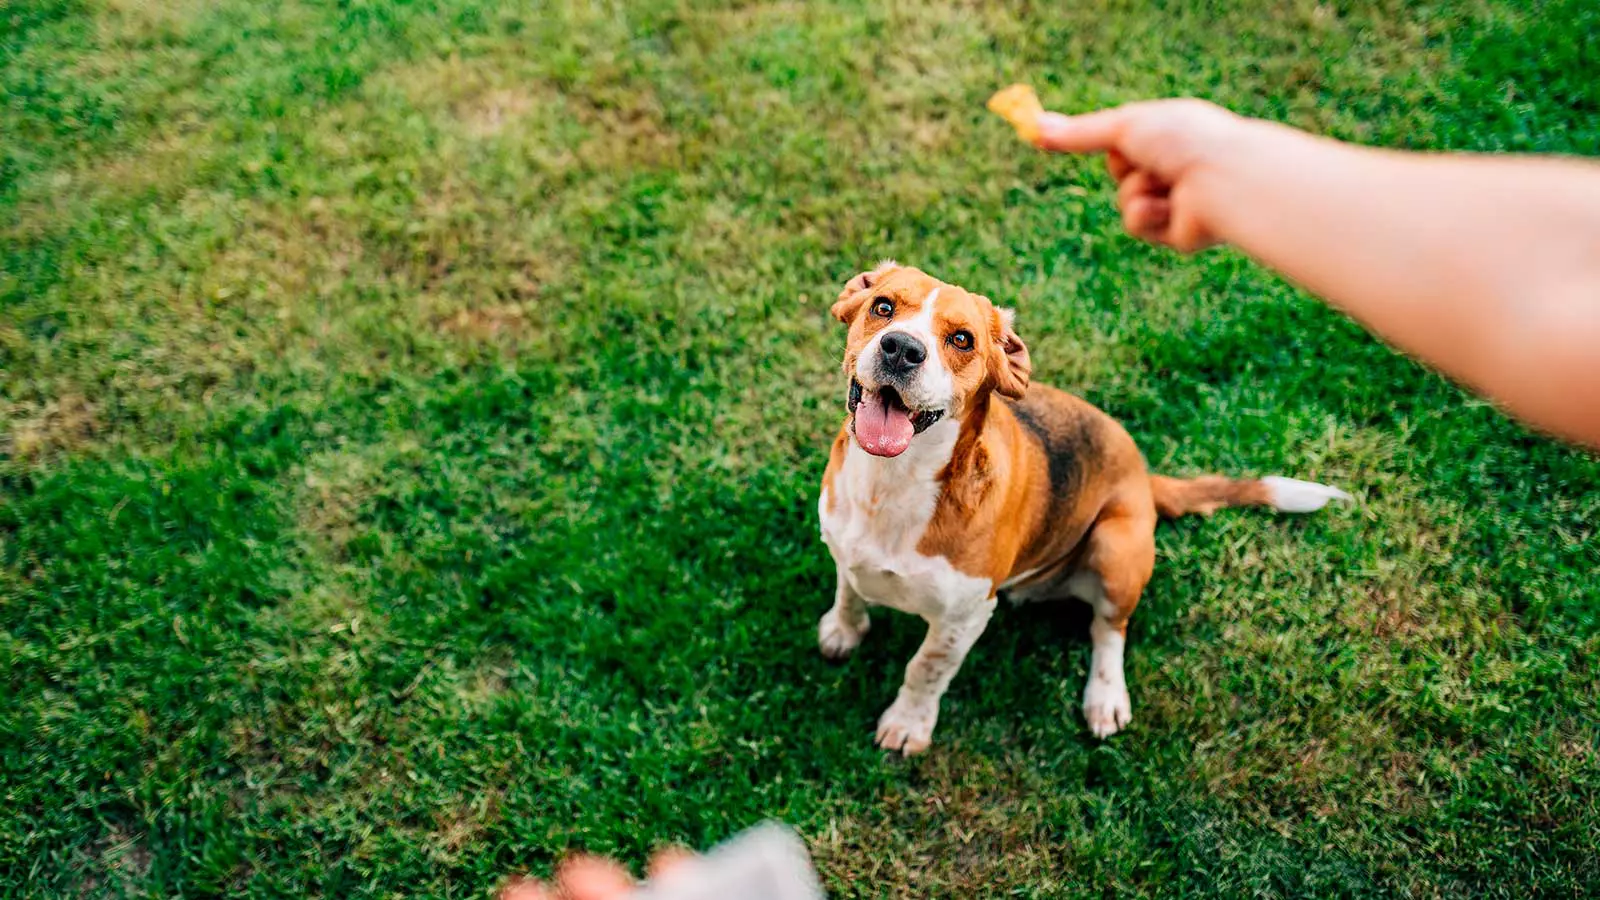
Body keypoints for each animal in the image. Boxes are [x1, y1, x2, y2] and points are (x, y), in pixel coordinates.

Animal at [812, 259, 1350, 749]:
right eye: (883, 307)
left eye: (962, 339)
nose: (902, 348)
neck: (892, 484)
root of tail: (1143, 477)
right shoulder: (844, 549)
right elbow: (848, 590)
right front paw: (843, 630)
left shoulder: (962, 619)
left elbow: (924, 669)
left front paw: (908, 724)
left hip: (1115, 547)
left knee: (1109, 629)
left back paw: (1105, 697)